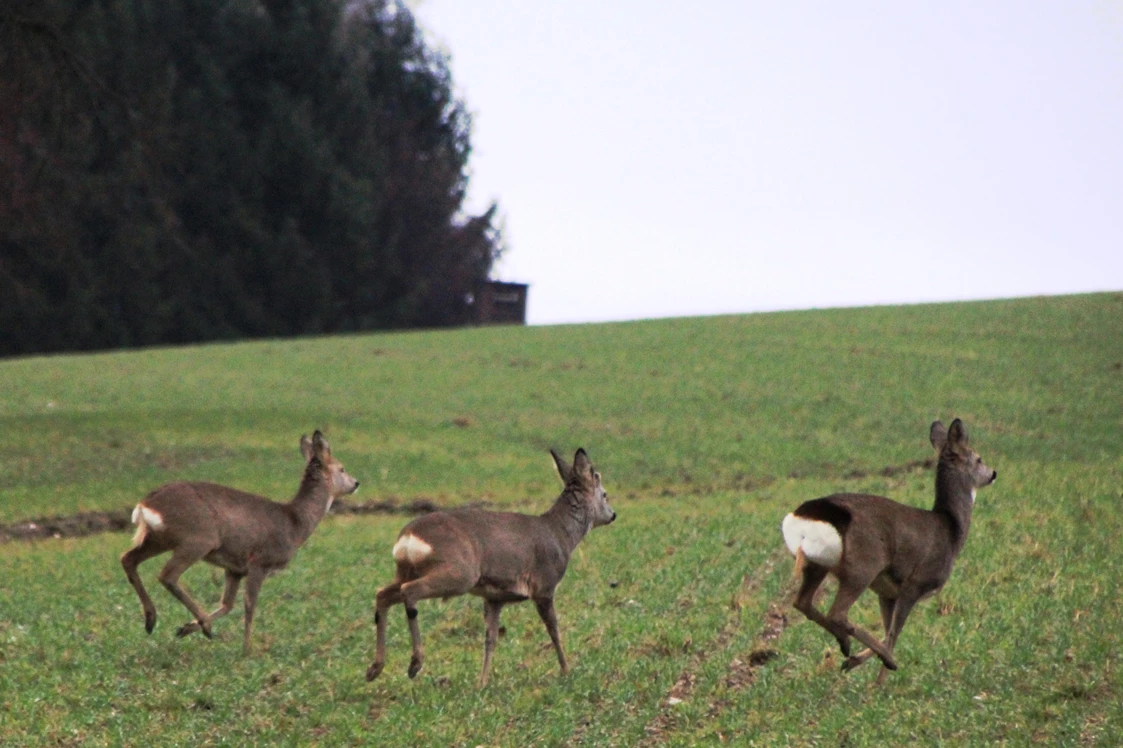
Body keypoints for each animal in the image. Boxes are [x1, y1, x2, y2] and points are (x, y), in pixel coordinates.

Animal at [119, 431, 357, 651]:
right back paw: (201, 624)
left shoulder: (234, 568)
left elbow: (227, 604)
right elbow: (249, 605)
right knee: (167, 575)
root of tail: (146, 504)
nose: (356, 483)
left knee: (128, 558)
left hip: (159, 538)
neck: (295, 523)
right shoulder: (260, 561)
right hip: (198, 538)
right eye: (342, 468)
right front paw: (246, 650)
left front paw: (186, 628)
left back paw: (152, 620)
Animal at [366, 444, 615, 682]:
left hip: (407, 570)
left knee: (383, 593)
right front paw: (566, 670)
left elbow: (491, 639)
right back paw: (415, 663)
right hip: (459, 573)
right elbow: (554, 630)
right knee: (410, 591)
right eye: (605, 494)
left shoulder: (494, 597)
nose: (613, 515)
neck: (560, 534)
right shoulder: (544, 586)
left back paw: (374, 669)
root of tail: (408, 536)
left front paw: (482, 683)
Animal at [781, 415, 1001, 678]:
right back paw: (881, 656)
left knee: (802, 602)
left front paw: (856, 662)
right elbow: (894, 633)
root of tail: (803, 518)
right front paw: (880, 677)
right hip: (863, 566)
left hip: (819, 565)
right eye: (978, 458)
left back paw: (846, 645)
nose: (993, 473)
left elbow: (888, 631)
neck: (951, 530)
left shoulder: (886, 592)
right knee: (838, 613)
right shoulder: (915, 583)